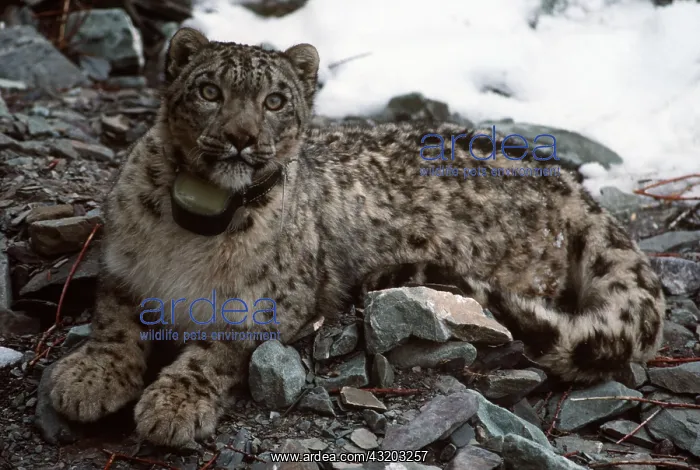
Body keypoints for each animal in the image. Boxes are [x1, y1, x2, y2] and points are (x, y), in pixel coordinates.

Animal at [45, 27, 665, 448]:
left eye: (275, 100)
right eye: (209, 91)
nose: (242, 137)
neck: (195, 225)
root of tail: (569, 185)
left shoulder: (268, 304)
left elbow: (217, 352)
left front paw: (172, 406)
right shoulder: (122, 264)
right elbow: (113, 322)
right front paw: (87, 380)